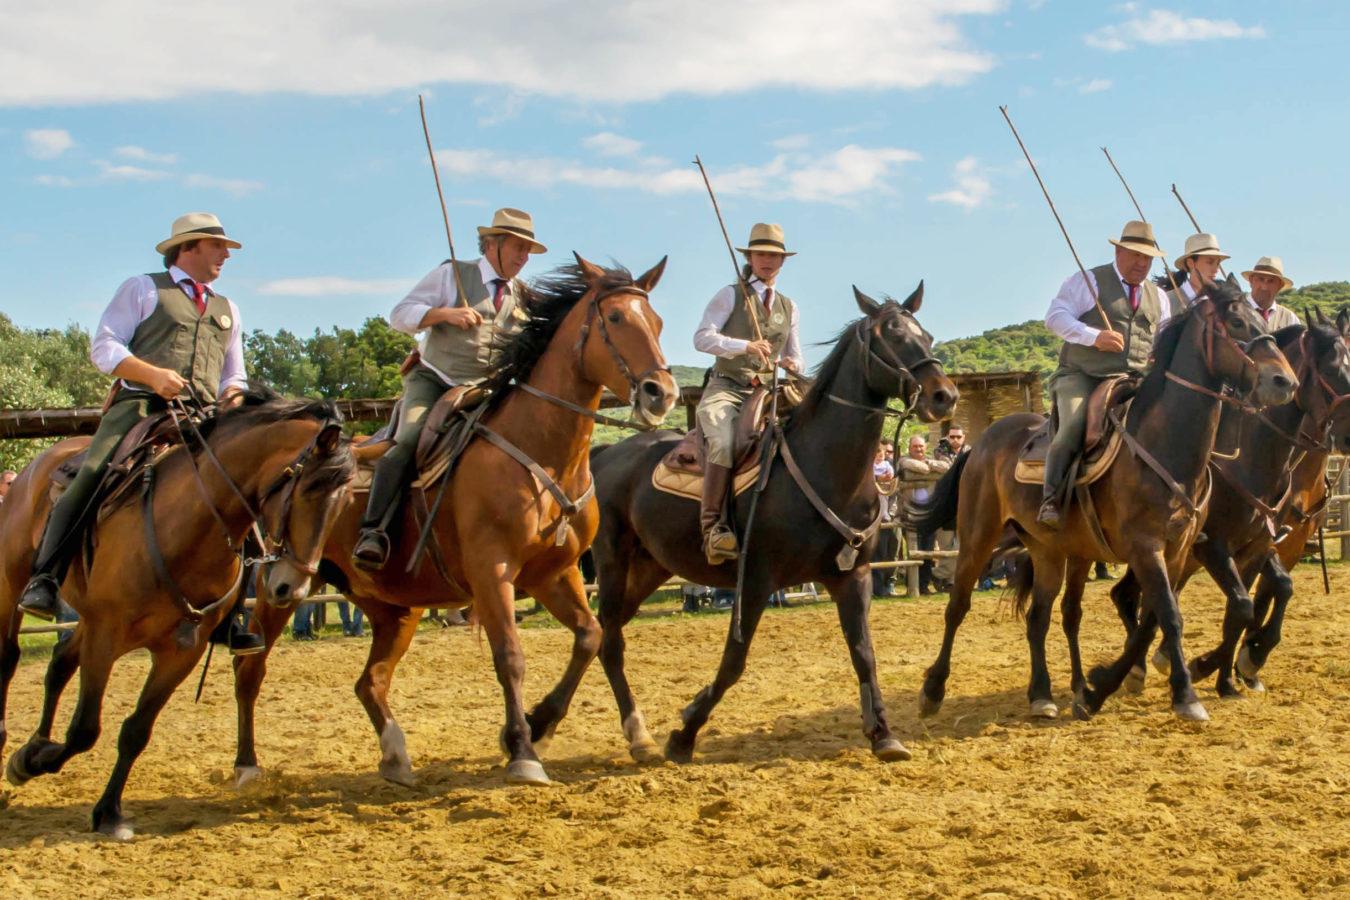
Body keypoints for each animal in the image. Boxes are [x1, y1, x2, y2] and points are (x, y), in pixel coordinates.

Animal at [0, 391, 356, 841]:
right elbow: (84, 729)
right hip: (11, 589)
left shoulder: (181, 652)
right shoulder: (105, 635)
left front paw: (107, 810)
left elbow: (136, 730)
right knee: (9, 660)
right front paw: (37, 764)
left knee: (60, 663)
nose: (291, 589)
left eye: (344, 502)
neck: (183, 528)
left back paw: (34, 743)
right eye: (307, 488)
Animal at [233, 255, 680, 788]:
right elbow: (510, 656)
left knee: (370, 682)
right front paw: (523, 750)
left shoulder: (556, 573)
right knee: (251, 670)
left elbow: (589, 637)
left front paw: (538, 725)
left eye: (657, 322)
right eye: (614, 318)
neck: (541, 454)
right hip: (281, 585)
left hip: (392, 607)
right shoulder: (493, 572)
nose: (661, 393)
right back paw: (246, 766)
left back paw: (396, 757)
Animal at [564, 284, 955, 766]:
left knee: (604, 633)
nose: (944, 396)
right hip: (613, 562)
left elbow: (864, 654)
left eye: (927, 335)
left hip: (650, 567)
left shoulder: (853, 576)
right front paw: (685, 732)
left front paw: (883, 734)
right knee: (610, 639)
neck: (823, 465)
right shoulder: (755, 580)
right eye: (893, 335)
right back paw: (624, 735)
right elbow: (734, 661)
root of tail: (603, 456)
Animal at [907, 284, 1296, 728]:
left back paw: (1044, 694)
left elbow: (1154, 619)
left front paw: (1098, 689)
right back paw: (933, 690)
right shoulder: (1150, 549)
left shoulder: (1178, 552)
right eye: (1235, 322)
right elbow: (1169, 616)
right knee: (959, 606)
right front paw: (1184, 694)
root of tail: (980, 443)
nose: (1285, 381)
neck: (1164, 446)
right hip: (977, 537)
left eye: (1263, 321)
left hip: (1051, 551)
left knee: (1043, 617)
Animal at [1107, 310, 1350, 696]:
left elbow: (1260, 600)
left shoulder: (1268, 545)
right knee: (1133, 596)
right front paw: (1214, 665)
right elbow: (1244, 602)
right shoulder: (1215, 547)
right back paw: (1139, 667)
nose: (1347, 436)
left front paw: (1235, 670)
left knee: (1137, 596)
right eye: (1330, 368)